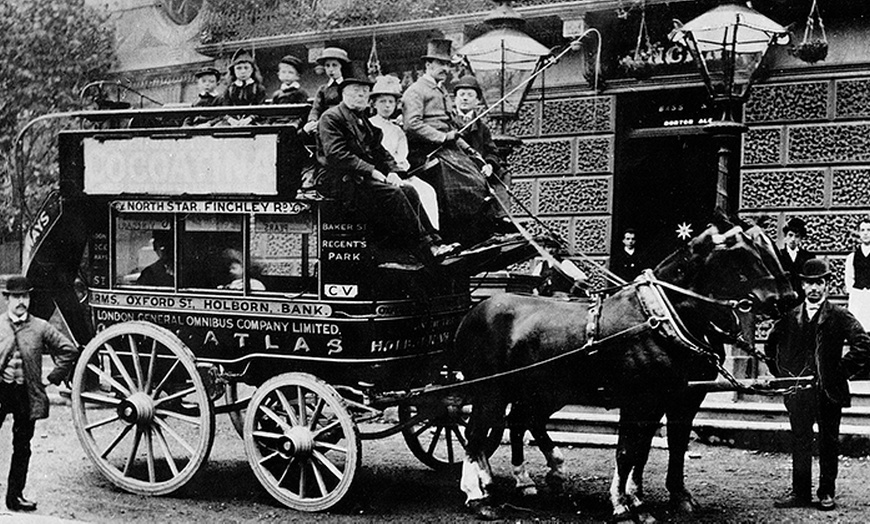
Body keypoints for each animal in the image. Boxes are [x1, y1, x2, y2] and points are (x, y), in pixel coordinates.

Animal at [456, 216, 796, 520]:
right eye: (744, 253)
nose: (787, 298)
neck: (660, 318)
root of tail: (475, 310)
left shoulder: (679, 399)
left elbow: (661, 447)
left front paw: (666, 497)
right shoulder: (639, 400)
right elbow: (627, 451)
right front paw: (624, 504)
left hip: (537, 391)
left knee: (516, 423)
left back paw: (516, 480)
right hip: (490, 389)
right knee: (476, 433)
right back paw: (477, 495)